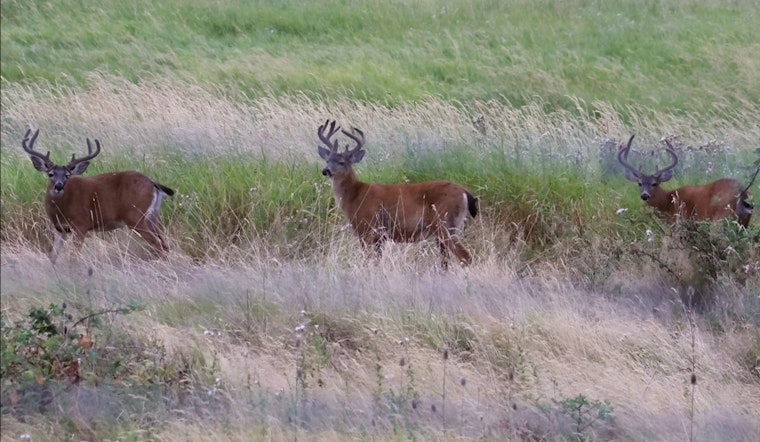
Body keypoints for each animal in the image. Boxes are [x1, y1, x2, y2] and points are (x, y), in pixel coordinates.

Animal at [21, 128, 175, 263]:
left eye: (67, 175)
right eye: (50, 174)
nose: (59, 186)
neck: (61, 210)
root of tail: (153, 183)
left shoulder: (81, 224)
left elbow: (73, 257)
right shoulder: (60, 229)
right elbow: (53, 256)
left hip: (135, 216)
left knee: (158, 243)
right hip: (153, 217)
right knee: (165, 243)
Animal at [317, 119, 478, 268]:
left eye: (342, 162)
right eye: (327, 160)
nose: (326, 170)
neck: (354, 196)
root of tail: (465, 192)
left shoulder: (366, 228)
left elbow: (368, 261)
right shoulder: (380, 237)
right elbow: (377, 261)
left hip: (444, 222)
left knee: (465, 256)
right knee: (446, 261)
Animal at [618, 135, 755, 227]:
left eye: (654, 183)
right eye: (639, 183)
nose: (645, 195)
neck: (668, 202)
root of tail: (743, 193)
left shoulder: (679, 221)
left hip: (721, 217)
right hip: (743, 223)